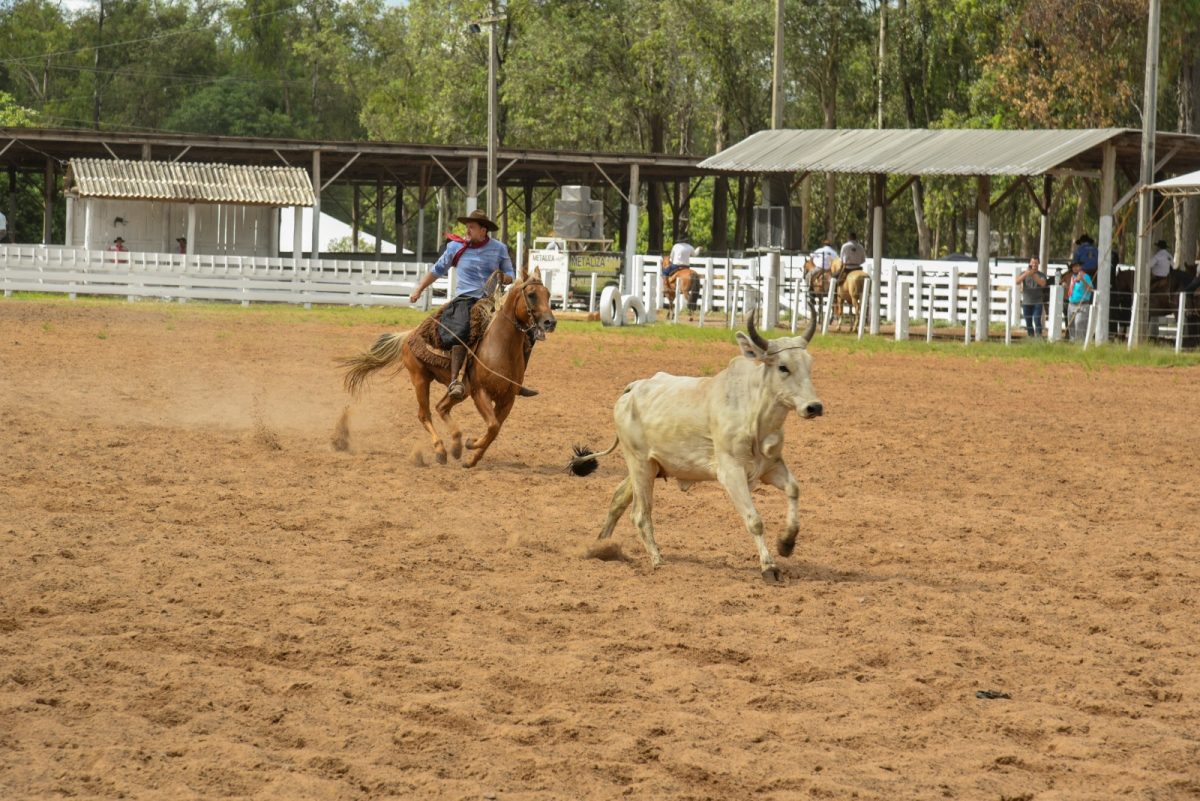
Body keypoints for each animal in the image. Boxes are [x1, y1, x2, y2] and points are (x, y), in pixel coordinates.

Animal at [338, 266, 556, 465]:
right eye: (531, 295)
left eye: (548, 294)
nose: (550, 322)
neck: (499, 348)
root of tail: (409, 334)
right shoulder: (480, 392)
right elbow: (493, 426)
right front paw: (471, 444)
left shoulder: (507, 400)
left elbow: (494, 429)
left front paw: (472, 456)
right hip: (420, 379)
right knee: (425, 414)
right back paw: (441, 450)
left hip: (461, 390)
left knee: (441, 407)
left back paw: (456, 446)